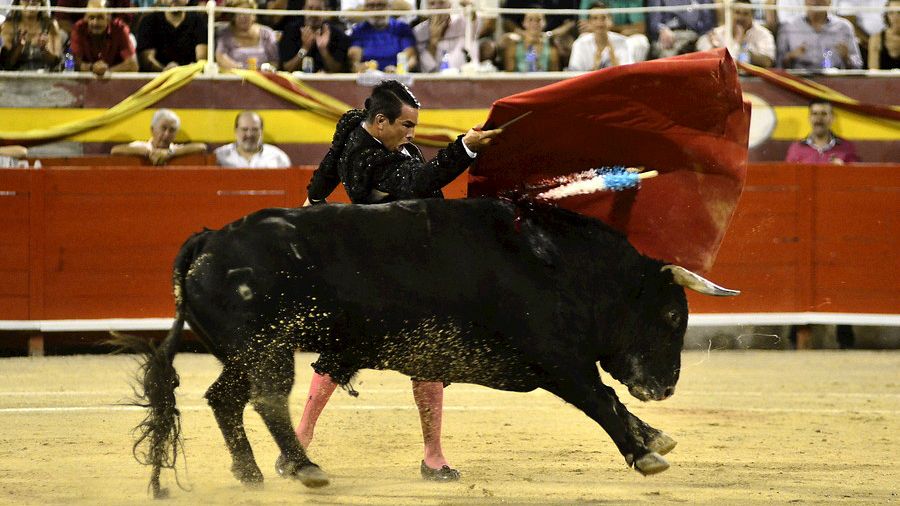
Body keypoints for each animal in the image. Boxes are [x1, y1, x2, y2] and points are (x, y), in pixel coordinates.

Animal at [112, 196, 736, 496]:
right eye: (670, 313)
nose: (665, 386)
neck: (563, 264)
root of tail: (209, 239)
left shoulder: (564, 364)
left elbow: (610, 401)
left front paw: (654, 436)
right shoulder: (559, 361)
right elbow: (603, 400)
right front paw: (646, 452)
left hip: (243, 351)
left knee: (224, 398)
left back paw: (251, 474)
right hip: (267, 346)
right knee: (267, 400)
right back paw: (305, 467)